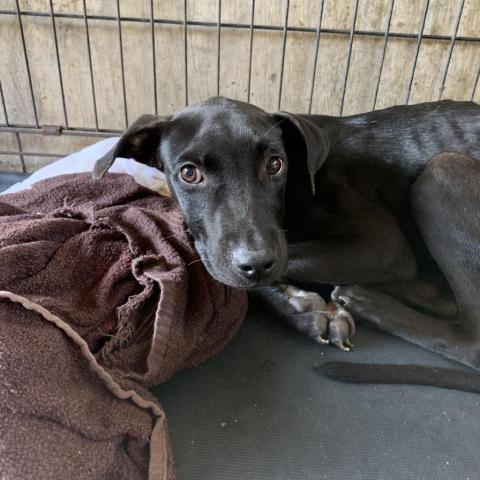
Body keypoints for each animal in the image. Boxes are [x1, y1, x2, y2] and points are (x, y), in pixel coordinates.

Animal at [93, 96, 480, 390]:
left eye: (275, 165)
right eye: (189, 173)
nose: (256, 262)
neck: (300, 178)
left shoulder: (382, 247)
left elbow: (227, 270)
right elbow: (222, 269)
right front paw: (301, 307)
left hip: (443, 171)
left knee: (469, 337)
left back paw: (369, 302)